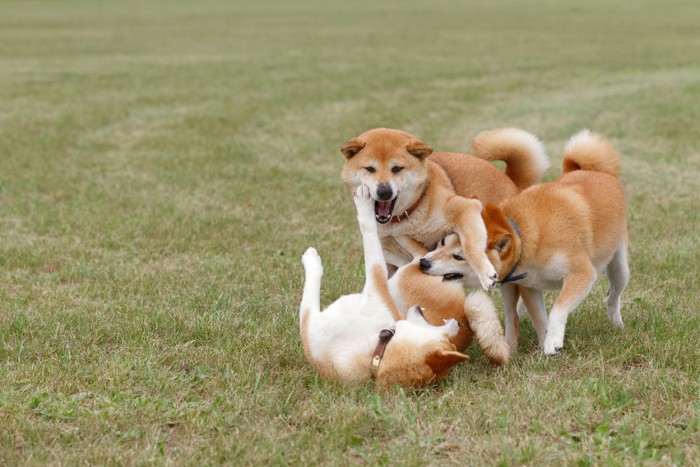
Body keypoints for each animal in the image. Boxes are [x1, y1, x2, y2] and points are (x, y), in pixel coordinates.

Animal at [296, 186, 508, 388]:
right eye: (445, 334)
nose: (456, 324)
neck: (375, 354)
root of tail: (464, 312)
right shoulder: (310, 325)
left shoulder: (376, 286)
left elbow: (368, 237)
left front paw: (312, 258)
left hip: (405, 274)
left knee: (411, 251)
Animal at [342, 130, 548, 290]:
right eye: (370, 168)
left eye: (397, 168)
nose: (384, 191)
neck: (416, 210)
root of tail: (511, 180)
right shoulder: (395, 242)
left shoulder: (467, 208)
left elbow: (470, 247)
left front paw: (485, 273)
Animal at [418, 132, 628, 358]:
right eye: (442, 242)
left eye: (459, 256)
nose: (423, 263)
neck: (525, 237)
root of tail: (593, 170)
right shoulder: (530, 287)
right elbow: (540, 318)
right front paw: (546, 342)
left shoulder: (581, 273)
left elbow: (557, 310)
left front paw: (553, 341)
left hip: (619, 268)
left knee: (612, 296)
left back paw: (617, 324)